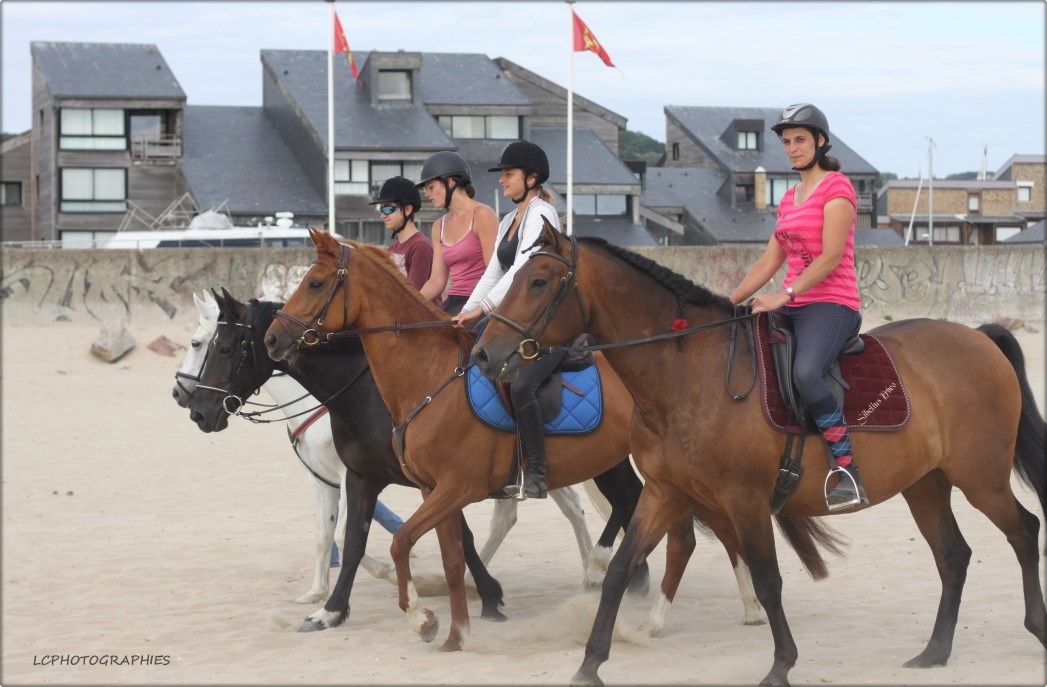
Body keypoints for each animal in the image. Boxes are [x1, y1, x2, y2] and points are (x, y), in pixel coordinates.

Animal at [188, 287, 690, 634]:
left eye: (222, 348)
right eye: (203, 344)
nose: (195, 408)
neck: (374, 386)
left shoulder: (439, 480)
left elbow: (451, 537)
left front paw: (485, 595)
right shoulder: (361, 476)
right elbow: (349, 540)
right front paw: (329, 607)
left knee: (620, 503)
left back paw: (605, 566)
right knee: (620, 502)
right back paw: (622, 574)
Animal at [262, 228, 842, 652]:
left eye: (316, 284)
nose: (272, 338)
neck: (428, 378)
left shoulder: (456, 487)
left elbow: (401, 541)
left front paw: (422, 618)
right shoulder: (430, 490)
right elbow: (445, 556)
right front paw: (455, 633)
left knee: (690, 532)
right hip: (673, 474)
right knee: (696, 532)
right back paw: (716, 607)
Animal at [469, 221, 1047, 686]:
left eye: (538, 282)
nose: (482, 354)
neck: (688, 373)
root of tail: (978, 338)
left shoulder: (744, 499)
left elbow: (768, 581)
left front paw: (781, 664)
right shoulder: (664, 493)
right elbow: (618, 573)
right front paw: (590, 665)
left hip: (980, 478)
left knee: (1024, 531)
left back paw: (1034, 628)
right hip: (926, 484)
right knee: (953, 556)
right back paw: (935, 651)